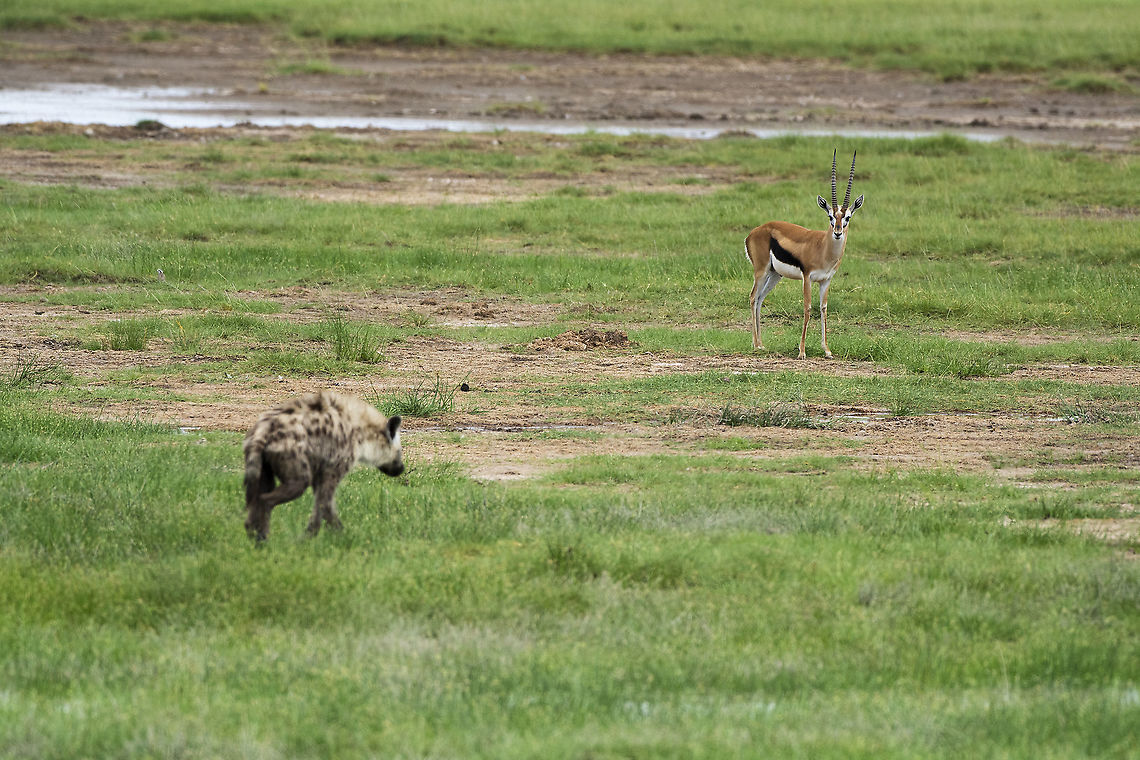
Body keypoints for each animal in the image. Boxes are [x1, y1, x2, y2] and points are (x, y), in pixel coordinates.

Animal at [745, 150, 864, 359]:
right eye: (830, 216)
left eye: (847, 217)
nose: (837, 232)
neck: (823, 249)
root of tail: (755, 231)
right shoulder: (807, 277)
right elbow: (807, 308)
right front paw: (801, 351)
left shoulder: (826, 280)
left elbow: (823, 308)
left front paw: (827, 350)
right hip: (761, 271)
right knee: (752, 297)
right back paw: (757, 345)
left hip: (774, 275)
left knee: (760, 299)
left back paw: (761, 344)